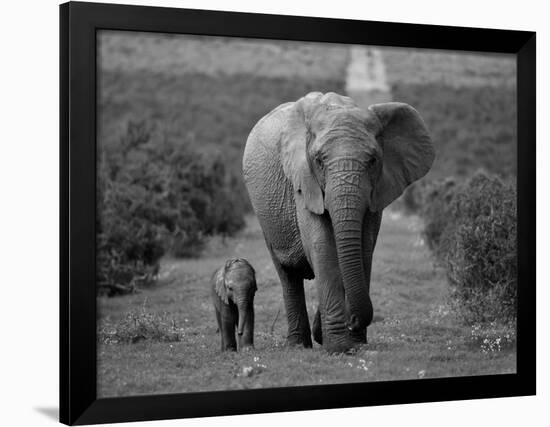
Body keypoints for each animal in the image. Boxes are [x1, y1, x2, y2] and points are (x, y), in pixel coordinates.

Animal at [244, 91, 434, 354]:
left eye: (373, 160)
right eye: (319, 161)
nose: (352, 320)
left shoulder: (377, 190)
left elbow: (364, 248)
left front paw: (354, 342)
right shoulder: (304, 182)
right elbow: (323, 246)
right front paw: (339, 347)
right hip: (265, 215)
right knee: (288, 274)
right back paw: (298, 345)